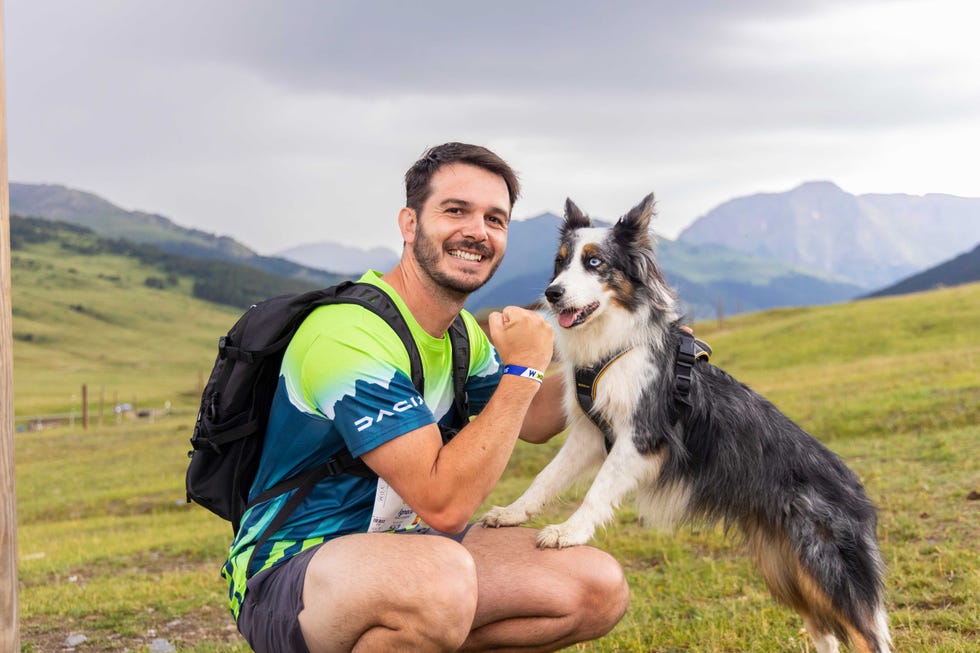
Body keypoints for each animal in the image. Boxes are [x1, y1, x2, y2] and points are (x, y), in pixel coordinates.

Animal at [478, 195, 892, 652]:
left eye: (595, 262)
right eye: (560, 261)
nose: (552, 294)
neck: (614, 343)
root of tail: (859, 495)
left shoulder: (641, 437)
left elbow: (598, 490)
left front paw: (569, 532)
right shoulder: (589, 434)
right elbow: (546, 478)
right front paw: (512, 513)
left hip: (826, 569)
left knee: (868, 635)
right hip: (786, 569)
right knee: (825, 630)